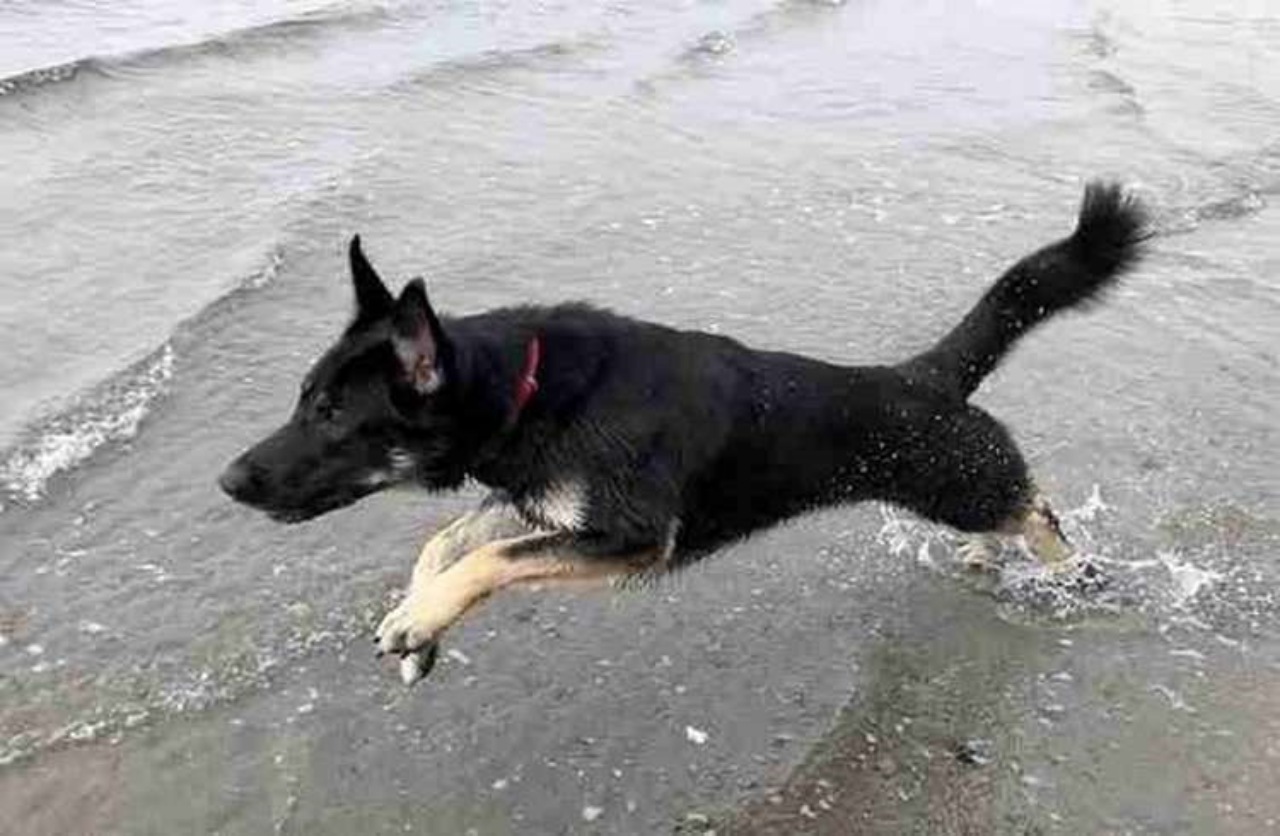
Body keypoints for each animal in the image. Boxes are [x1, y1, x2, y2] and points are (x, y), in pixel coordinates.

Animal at [220, 180, 1152, 675]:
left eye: (331, 415)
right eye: (303, 398)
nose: (228, 482)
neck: (527, 390)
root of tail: (926, 373)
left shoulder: (629, 537)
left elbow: (485, 556)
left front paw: (418, 622)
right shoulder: (541, 505)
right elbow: (447, 541)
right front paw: (421, 622)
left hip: (961, 479)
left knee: (1035, 508)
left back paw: (1073, 569)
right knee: (1010, 515)